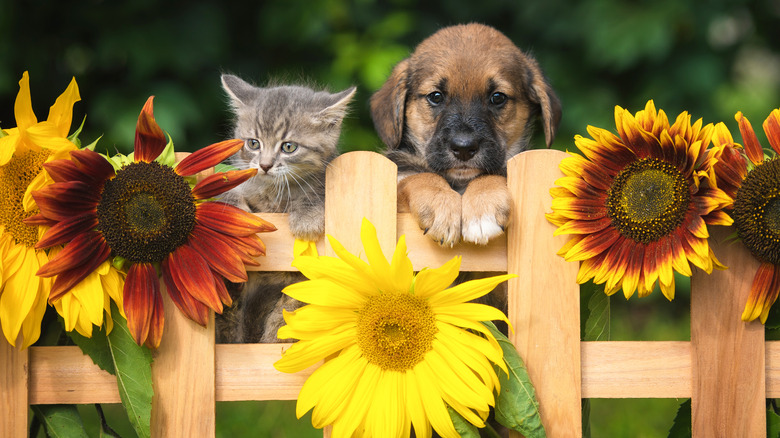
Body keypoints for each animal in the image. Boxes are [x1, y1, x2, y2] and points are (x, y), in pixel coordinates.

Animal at [216, 73, 356, 344]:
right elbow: (228, 191)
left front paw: (307, 219)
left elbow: (316, 192)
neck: (275, 192)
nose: (265, 165)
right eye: (253, 143)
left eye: (289, 147)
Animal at [370, 22, 560, 246]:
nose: (463, 148)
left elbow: (491, 175)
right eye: (436, 96)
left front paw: (483, 208)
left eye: (497, 97)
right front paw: (441, 207)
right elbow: (420, 177)